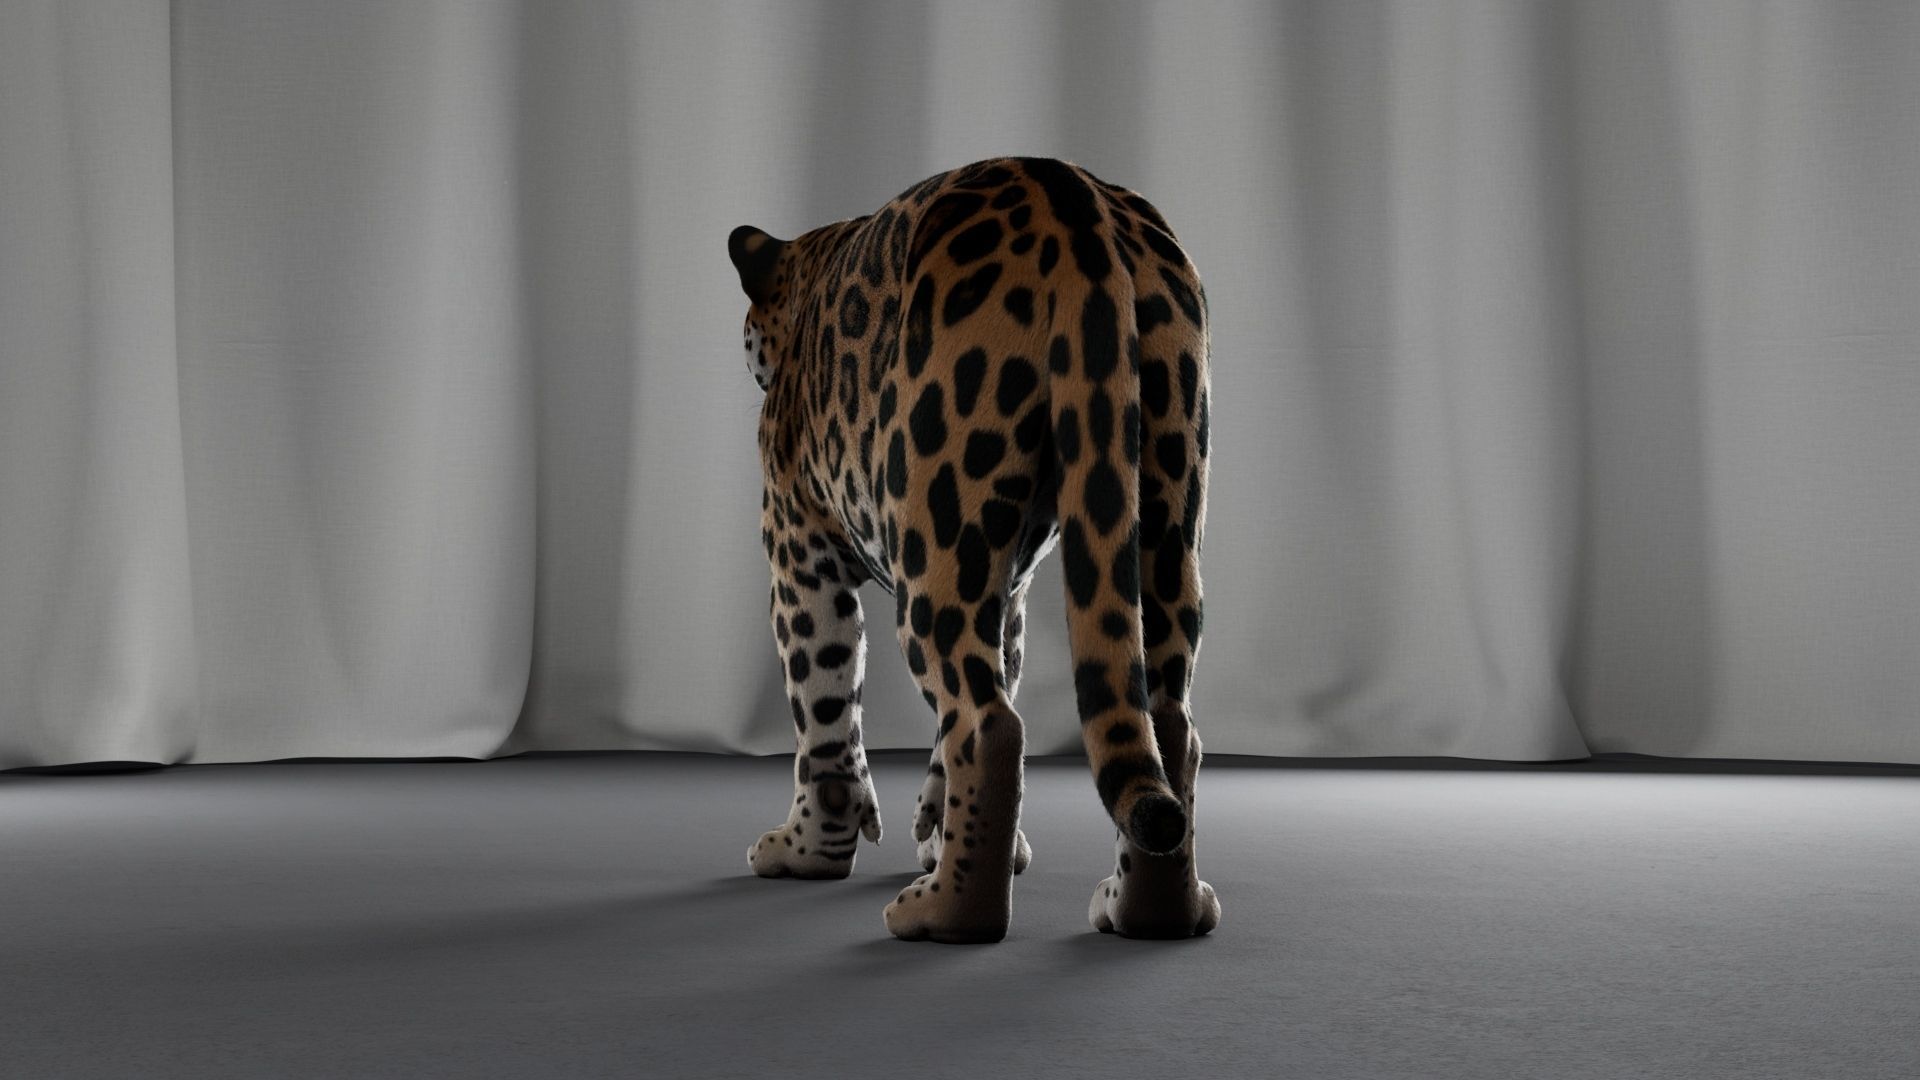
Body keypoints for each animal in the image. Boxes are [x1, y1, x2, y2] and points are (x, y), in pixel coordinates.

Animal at [729, 157, 1218, 943]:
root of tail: (1072, 197)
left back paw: (947, 915)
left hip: (939, 530)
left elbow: (826, 711)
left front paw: (809, 851)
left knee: (991, 727)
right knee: (1165, 720)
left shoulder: (796, 548)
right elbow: (975, 697)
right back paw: (1151, 911)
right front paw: (944, 831)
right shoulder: (1009, 587)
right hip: (1163, 511)